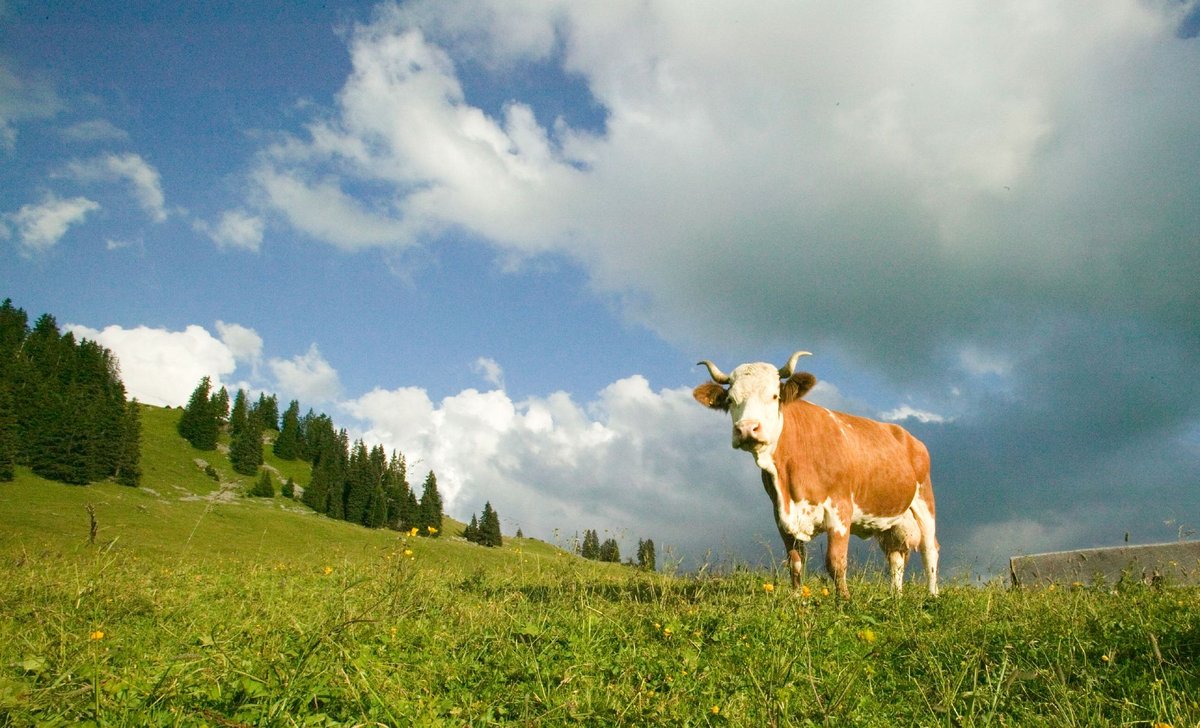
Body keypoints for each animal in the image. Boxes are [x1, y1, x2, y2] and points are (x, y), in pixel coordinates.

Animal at [696, 352, 936, 597]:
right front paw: (796, 597)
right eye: (730, 400)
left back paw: (932, 594)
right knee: (895, 556)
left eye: (774, 396)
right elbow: (795, 561)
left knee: (930, 549)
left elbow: (835, 561)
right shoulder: (780, 513)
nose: (746, 428)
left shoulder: (840, 507)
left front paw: (844, 599)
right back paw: (895, 595)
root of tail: (906, 435)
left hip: (924, 501)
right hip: (891, 520)